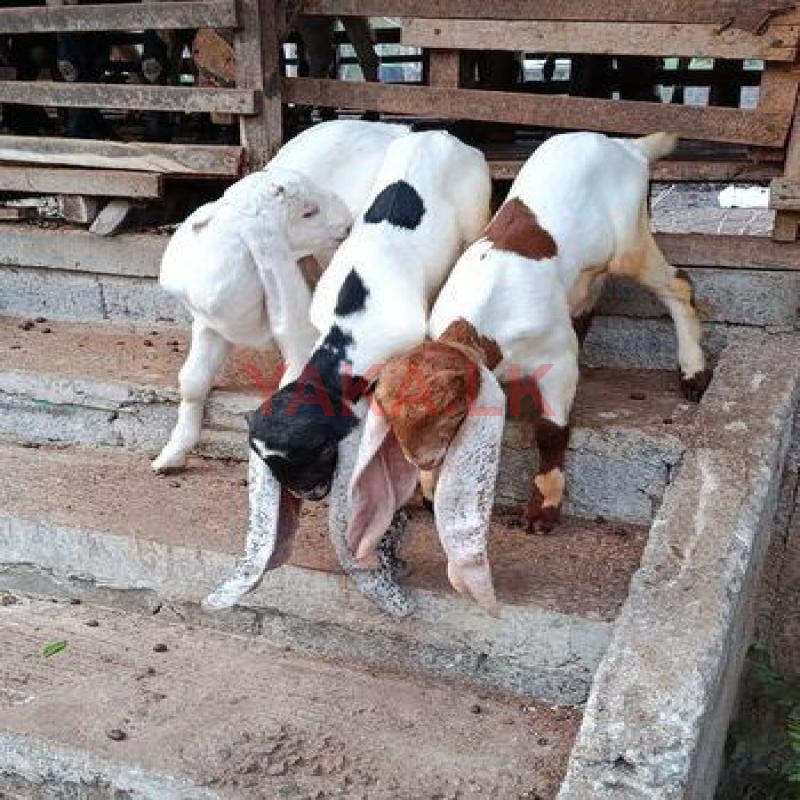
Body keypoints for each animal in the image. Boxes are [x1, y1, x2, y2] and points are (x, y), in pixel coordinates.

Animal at [152, 120, 409, 474]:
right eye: (308, 212)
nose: (348, 221)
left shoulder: (305, 341)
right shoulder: (211, 324)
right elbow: (192, 381)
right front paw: (173, 453)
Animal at [346, 132, 709, 609]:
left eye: (451, 412)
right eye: (389, 414)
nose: (423, 461)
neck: (484, 328)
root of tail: (627, 146)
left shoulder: (557, 363)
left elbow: (551, 431)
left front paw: (543, 511)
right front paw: (428, 488)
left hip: (631, 240)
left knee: (677, 285)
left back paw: (693, 374)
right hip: (588, 272)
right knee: (588, 299)